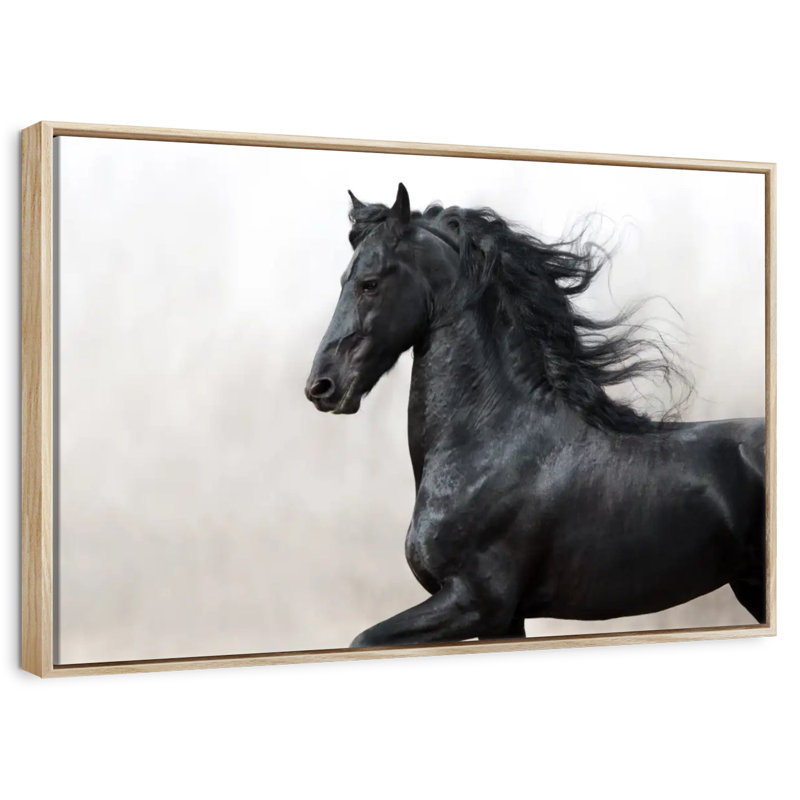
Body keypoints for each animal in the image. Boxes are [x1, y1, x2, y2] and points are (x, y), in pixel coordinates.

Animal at [305, 183, 767, 648]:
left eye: (369, 284)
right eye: (344, 280)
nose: (321, 386)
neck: (495, 441)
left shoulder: (476, 604)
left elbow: (362, 640)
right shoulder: (504, 620)